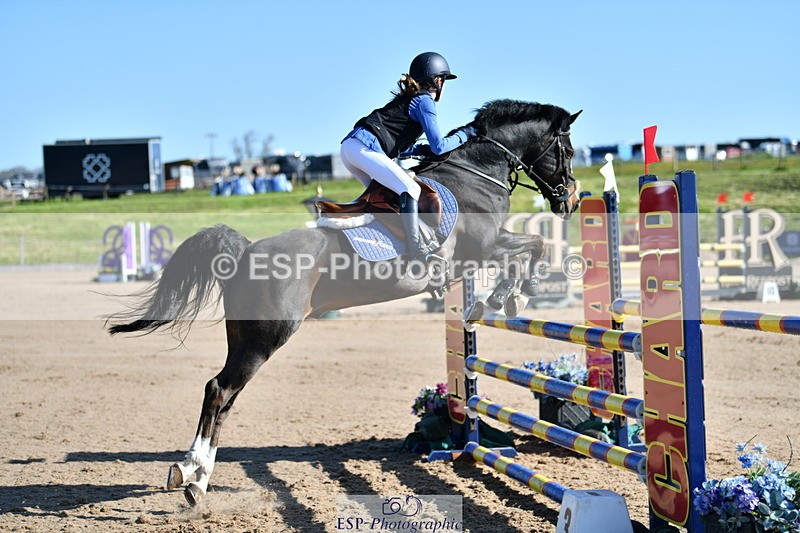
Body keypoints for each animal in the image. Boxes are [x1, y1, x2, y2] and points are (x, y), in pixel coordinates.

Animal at [108, 99, 582, 506]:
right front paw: (510, 295)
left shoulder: (485, 250)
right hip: (266, 338)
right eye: (568, 150)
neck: (475, 174)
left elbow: (530, 246)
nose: (571, 200)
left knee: (223, 395)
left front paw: (508, 296)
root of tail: (244, 250)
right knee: (220, 389)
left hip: (243, 336)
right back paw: (192, 475)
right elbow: (534, 246)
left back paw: (196, 476)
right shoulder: (483, 250)